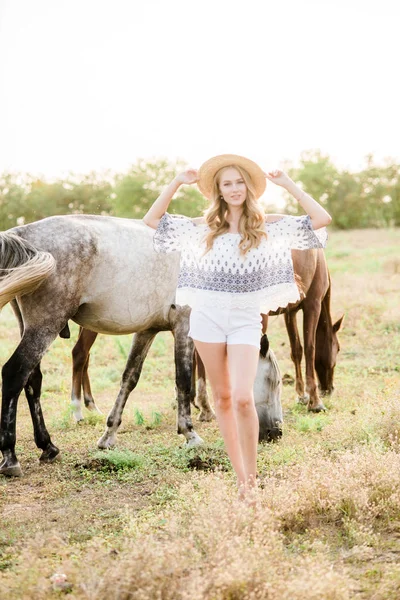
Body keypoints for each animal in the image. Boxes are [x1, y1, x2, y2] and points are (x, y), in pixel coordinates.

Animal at [0, 213, 284, 476]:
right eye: (274, 381)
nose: (277, 432)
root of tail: (20, 233)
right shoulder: (184, 325)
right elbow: (183, 380)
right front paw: (190, 434)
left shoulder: (147, 331)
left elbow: (129, 378)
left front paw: (109, 435)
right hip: (46, 325)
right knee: (15, 374)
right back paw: (10, 457)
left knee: (32, 381)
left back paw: (47, 446)